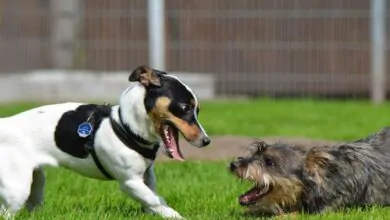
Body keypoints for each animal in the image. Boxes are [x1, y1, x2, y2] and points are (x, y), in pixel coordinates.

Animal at [0, 65, 210, 218]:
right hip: (17, 190)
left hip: (36, 181)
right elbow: (156, 200)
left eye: (197, 110)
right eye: (184, 108)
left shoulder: (147, 177)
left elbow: (151, 199)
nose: (206, 141)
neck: (125, 125)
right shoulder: (130, 182)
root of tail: (5, 124)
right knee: (6, 212)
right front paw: (175, 215)